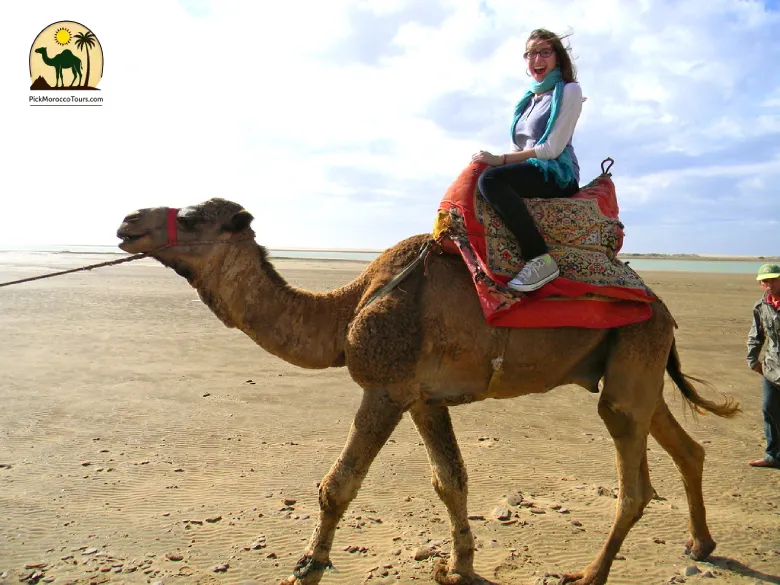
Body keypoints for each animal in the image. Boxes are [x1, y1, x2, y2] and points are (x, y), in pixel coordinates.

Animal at [116, 198, 740, 585]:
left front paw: (308, 565)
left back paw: (590, 574)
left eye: (191, 217)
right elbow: (451, 481)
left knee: (634, 482)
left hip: (634, 354)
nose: (127, 222)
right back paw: (700, 544)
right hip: (634, 365)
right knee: (683, 445)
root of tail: (661, 305)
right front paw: (459, 567)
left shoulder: (386, 388)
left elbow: (337, 486)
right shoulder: (423, 397)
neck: (347, 309)